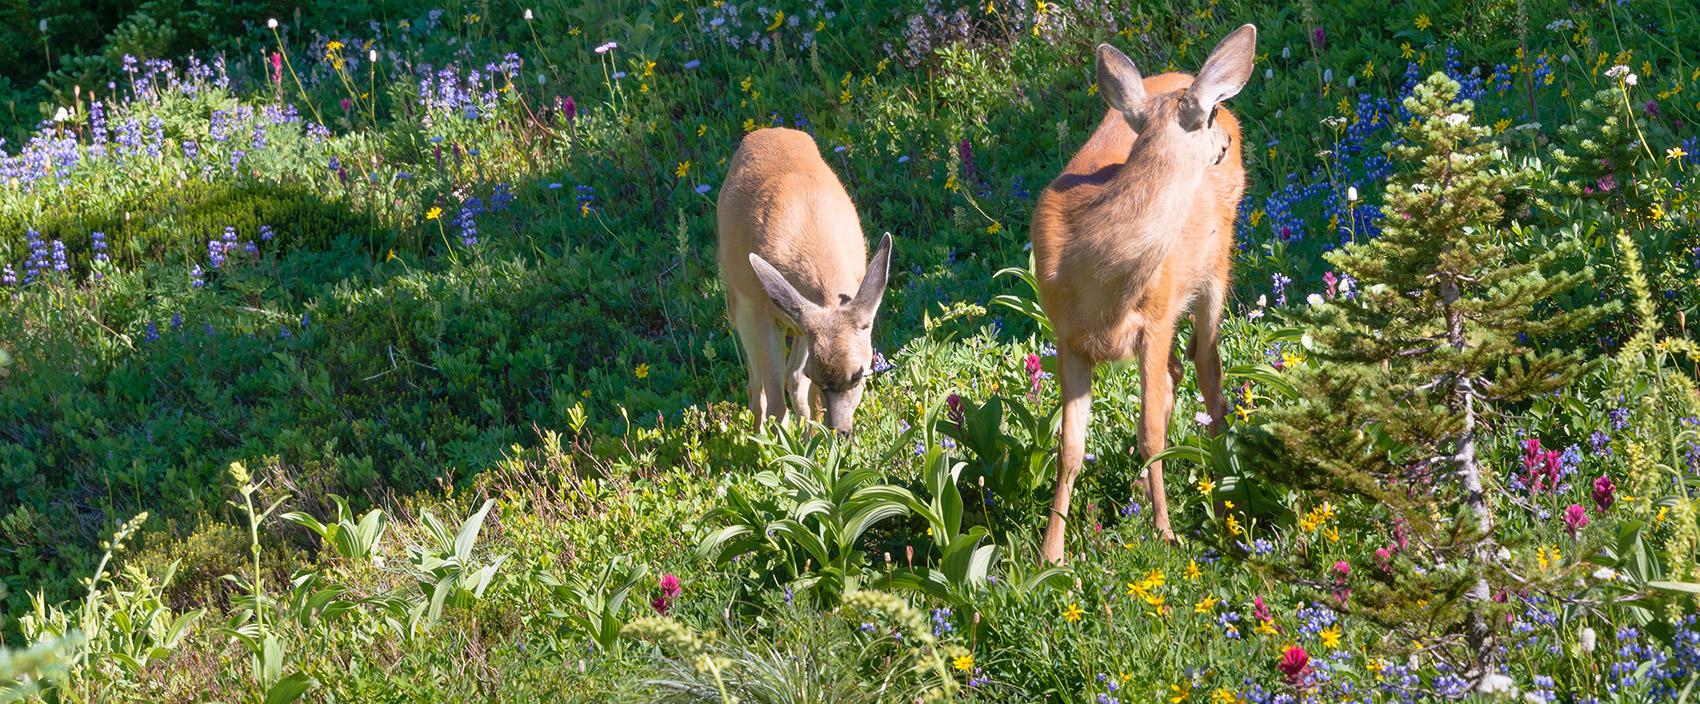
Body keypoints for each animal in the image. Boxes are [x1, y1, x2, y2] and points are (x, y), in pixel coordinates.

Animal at [714, 127, 897, 435]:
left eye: (859, 374)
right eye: (817, 373)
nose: (840, 431)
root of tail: (766, 131)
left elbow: (800, 383)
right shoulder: (765, 313)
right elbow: (776, 404)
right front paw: (780, 448)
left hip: (798, 323)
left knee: (792, 378)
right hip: (741, 305)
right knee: (757, 387)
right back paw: (760, 437)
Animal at [1026, 23, 1258, 561]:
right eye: (1209, 114)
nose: (1225, 136)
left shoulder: (1155, 320)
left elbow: (1151, 431)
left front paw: (1165, 532)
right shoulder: (1066, 338)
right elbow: (1070, 448)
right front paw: (1050, 554)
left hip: (1216, 270)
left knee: (1209, 377)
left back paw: (1222, 489)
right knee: (1178, 374)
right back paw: (1139, 487)